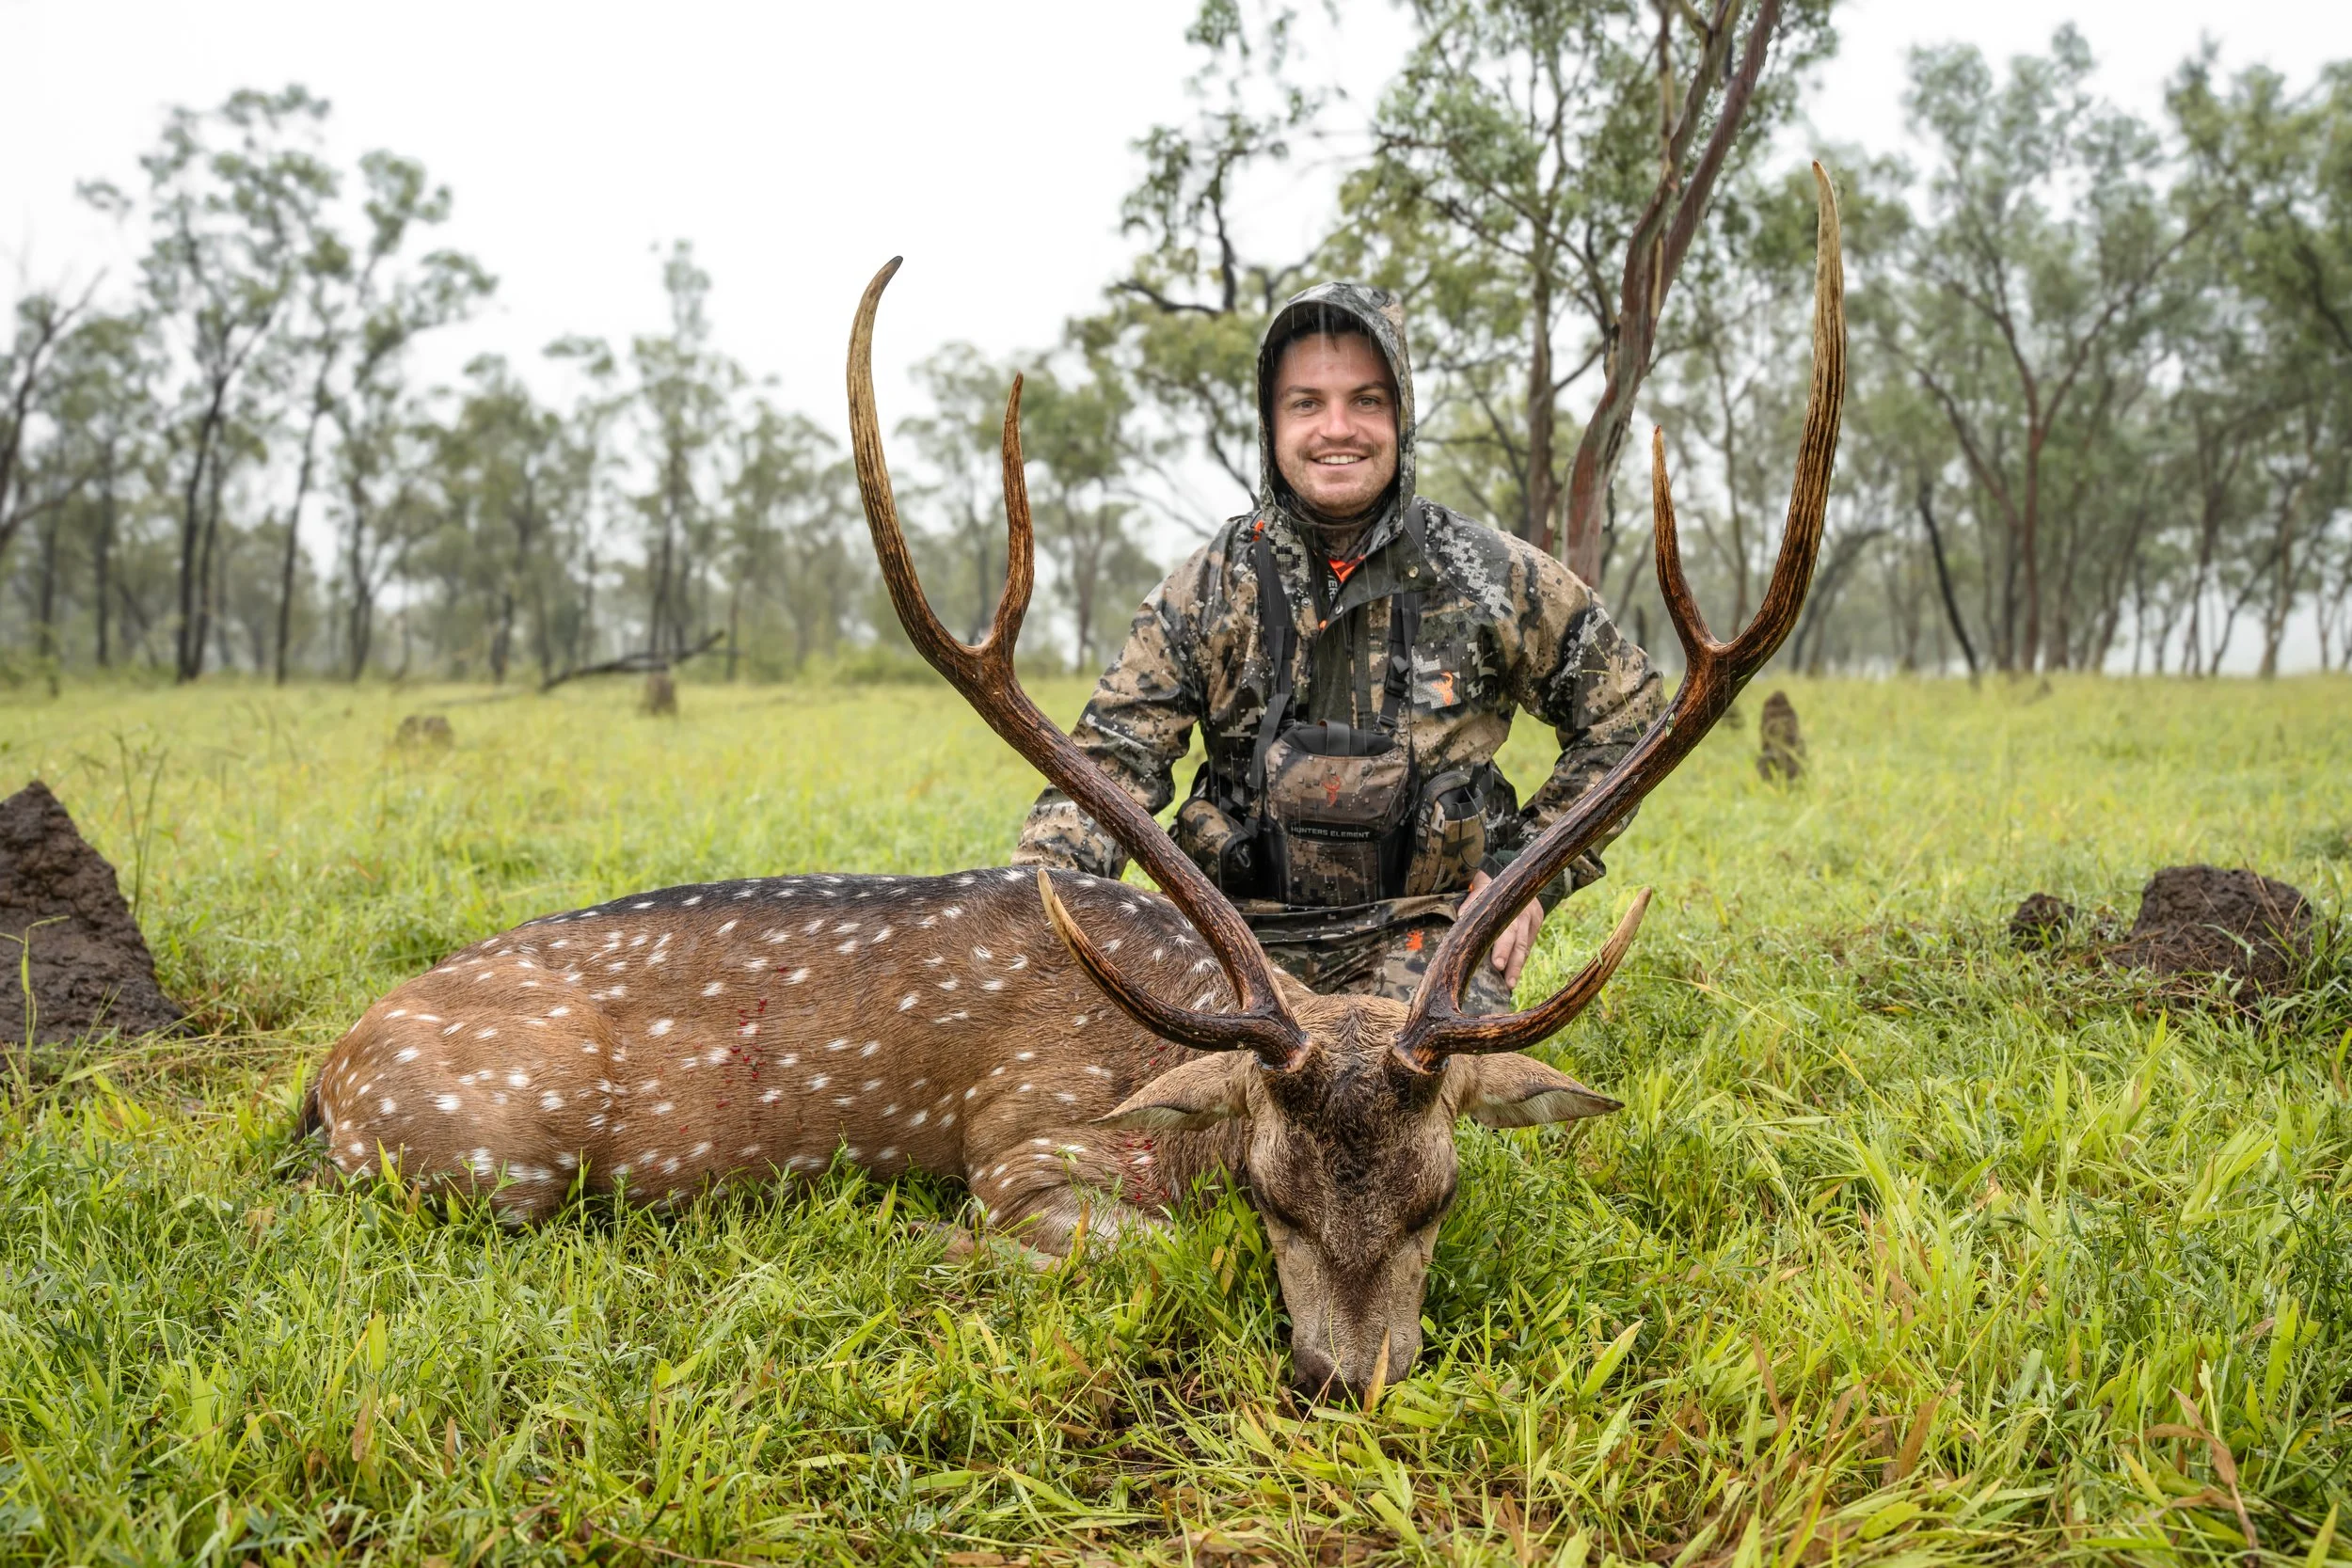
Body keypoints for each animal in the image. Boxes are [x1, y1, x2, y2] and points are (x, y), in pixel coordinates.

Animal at [302, 168, 1843, 1402]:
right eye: (1268, 1186)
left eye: (1442, 1188)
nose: (1346, 1377)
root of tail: (323, 1072)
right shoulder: (1027, 1142)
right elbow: (1123, 1248)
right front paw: (927, 1240)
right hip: (481, 1151)